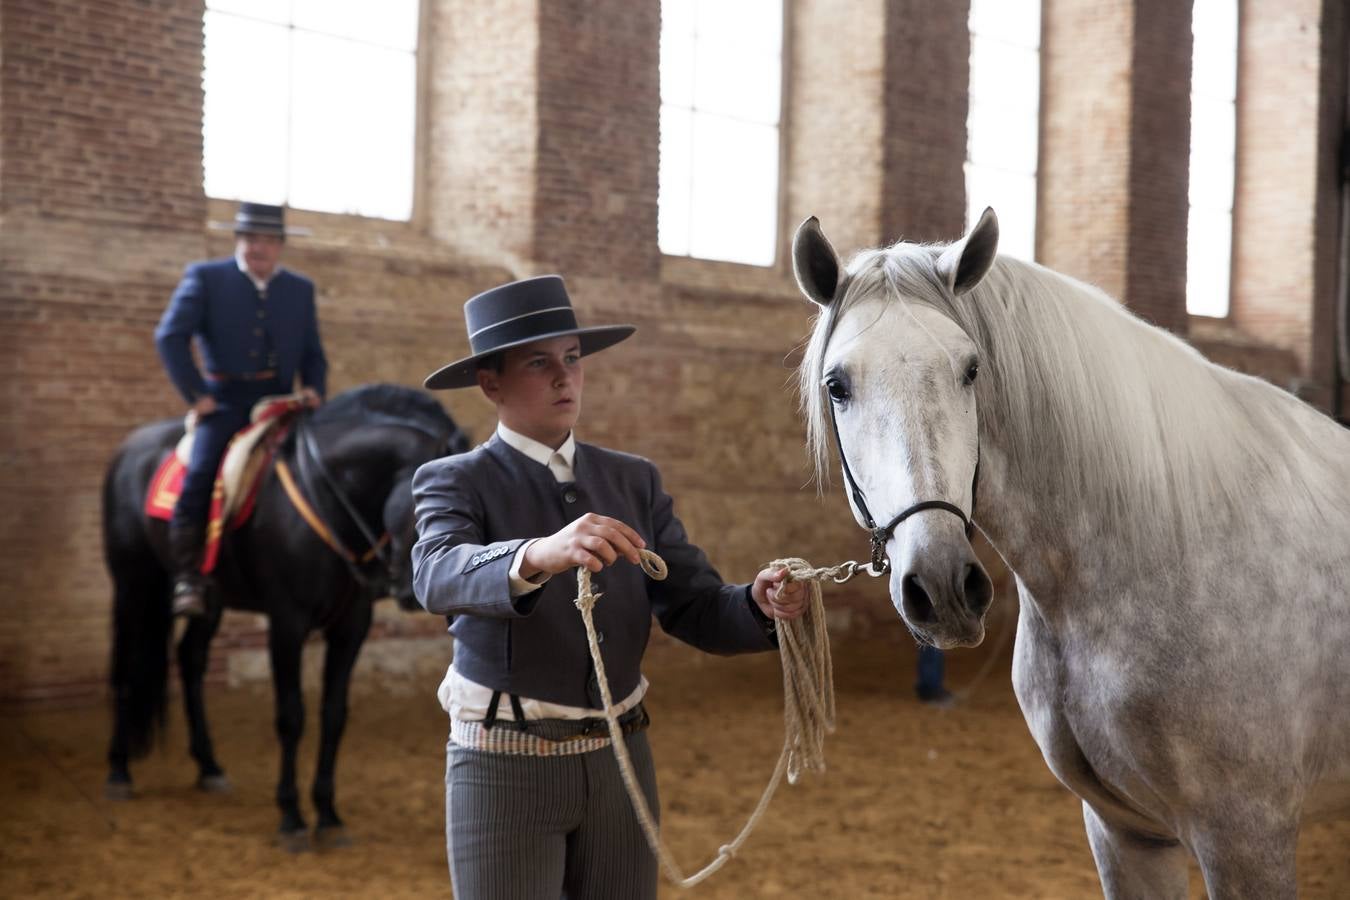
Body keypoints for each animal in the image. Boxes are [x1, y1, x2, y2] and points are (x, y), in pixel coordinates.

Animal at [102, 383, 469, 847]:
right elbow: (291, 717)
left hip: (210, 600)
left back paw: (209, 766)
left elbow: (334, 716)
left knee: (190, 660)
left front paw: (328, 815)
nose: (415, 591)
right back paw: (119, 770)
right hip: (132, 583)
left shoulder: (351, 627)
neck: (330, 498)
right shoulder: (287, 624)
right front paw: (292, 816)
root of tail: (129, 448)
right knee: (125, 667)